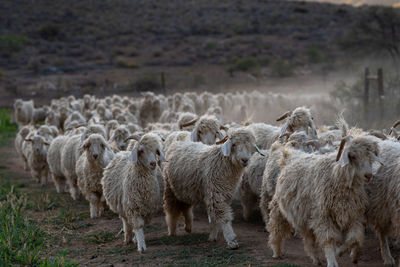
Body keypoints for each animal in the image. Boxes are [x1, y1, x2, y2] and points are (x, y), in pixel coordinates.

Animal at [266, 137, 382, 266]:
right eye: (353, 156)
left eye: (370, 156)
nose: (368, 175)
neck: (335, 175)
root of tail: (288, 156)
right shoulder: (323, 216)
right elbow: (329, 240)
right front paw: (332, 261)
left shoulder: (354, 215)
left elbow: (353, 240)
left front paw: (340, 252)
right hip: (279, 208)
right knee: (276, 228)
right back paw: (276, 251)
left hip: (304, 216)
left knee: (308, 239)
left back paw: (316, 259)